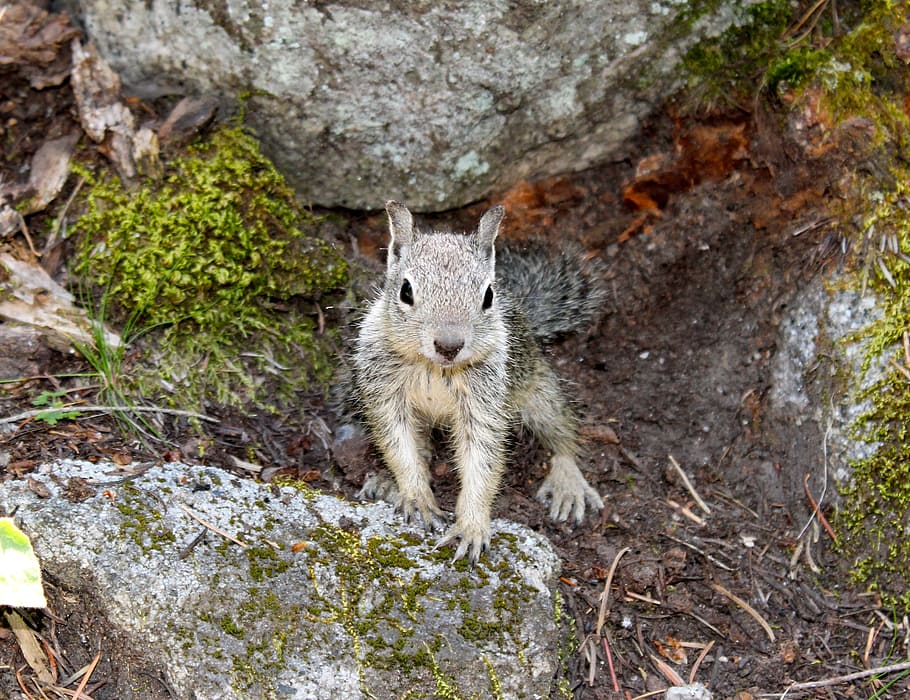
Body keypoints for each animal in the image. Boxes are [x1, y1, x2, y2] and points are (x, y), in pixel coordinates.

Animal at [348, 201, 605, 563]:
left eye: (488, 295)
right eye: (406, 291)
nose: (449, 344)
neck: (437, 369)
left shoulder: (484, 404)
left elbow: (481, 461)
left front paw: (471, 526)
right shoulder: (384, 391)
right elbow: (399, 444)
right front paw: (416, 496)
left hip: (538, 391)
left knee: (563, 433)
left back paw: (568, 483)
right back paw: (388, 482)